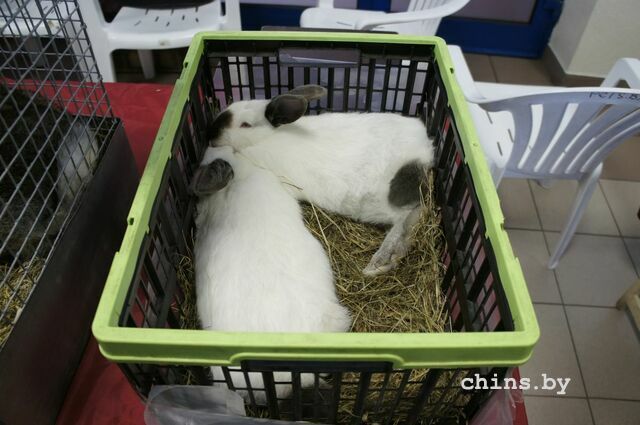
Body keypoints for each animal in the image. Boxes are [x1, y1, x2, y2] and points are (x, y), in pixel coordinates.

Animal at [209, 85, 434, 276]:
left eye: (245, 124)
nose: (211, 132)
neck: (266, 138)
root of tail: (426, 153)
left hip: (391, 197)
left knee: (410, 215)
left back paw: (379, 263)